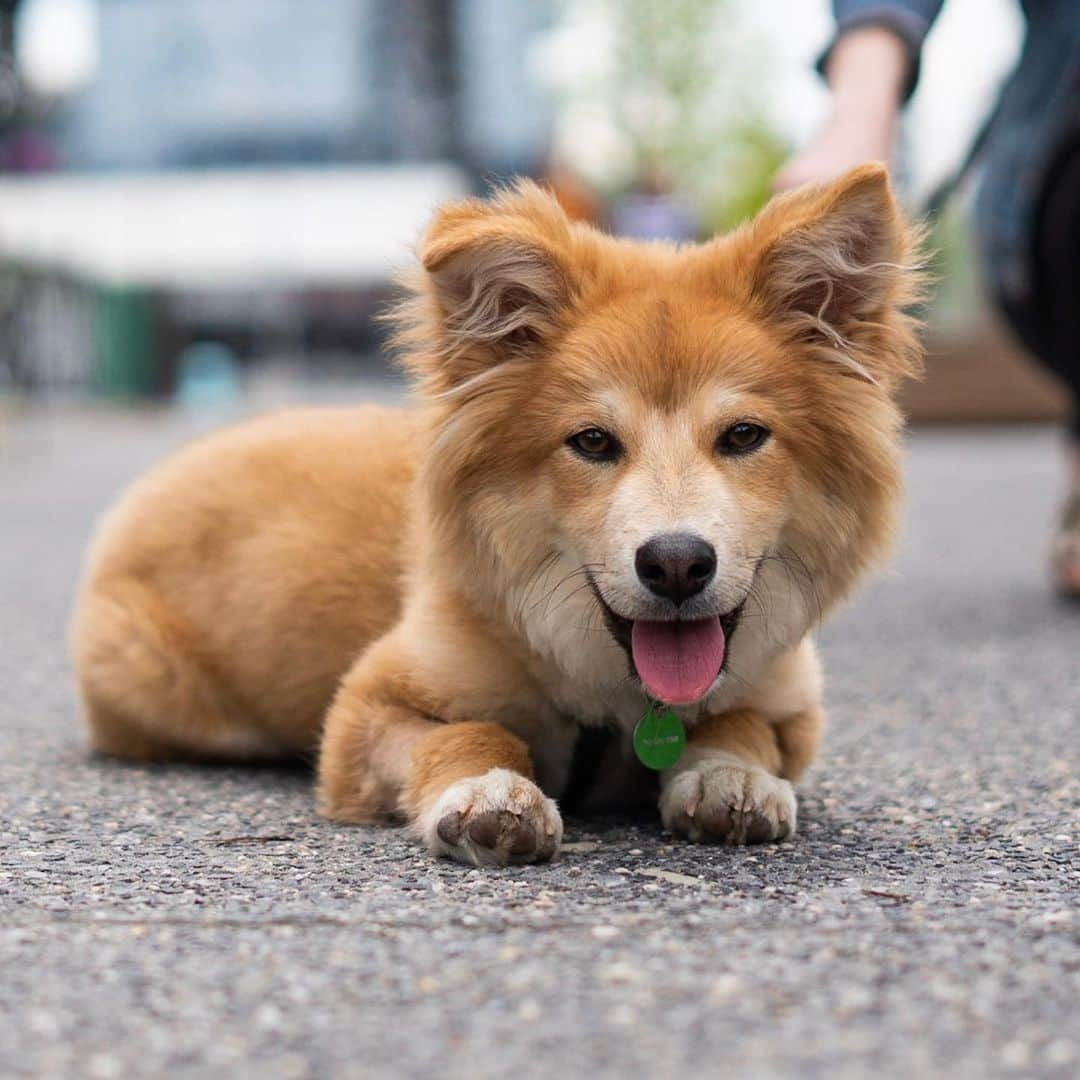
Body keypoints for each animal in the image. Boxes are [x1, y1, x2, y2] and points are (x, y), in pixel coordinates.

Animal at [71, 162, 924, 868]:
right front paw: (487, 791)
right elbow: (474, 730)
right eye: (592, 441)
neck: (618, 698)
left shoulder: (789, 703)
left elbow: (739, 727)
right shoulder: (366, 708)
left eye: (744, 436)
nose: (677, 562)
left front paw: (727, 779)